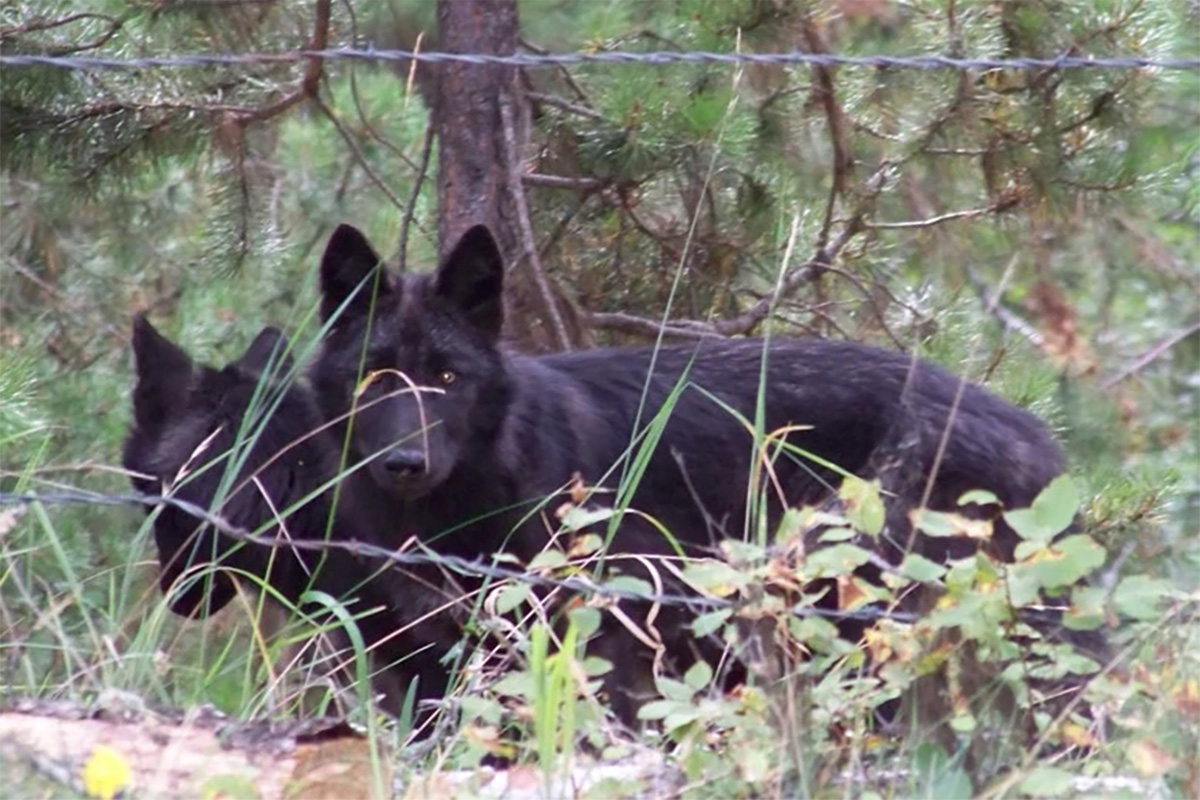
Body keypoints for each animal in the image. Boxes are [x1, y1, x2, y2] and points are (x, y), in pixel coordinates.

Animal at [310, 223, 1075, 720]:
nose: (404, 464)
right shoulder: (428, 662)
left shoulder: (602, 638)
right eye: (375, 378)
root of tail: (1035, 432)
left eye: (446, 377)